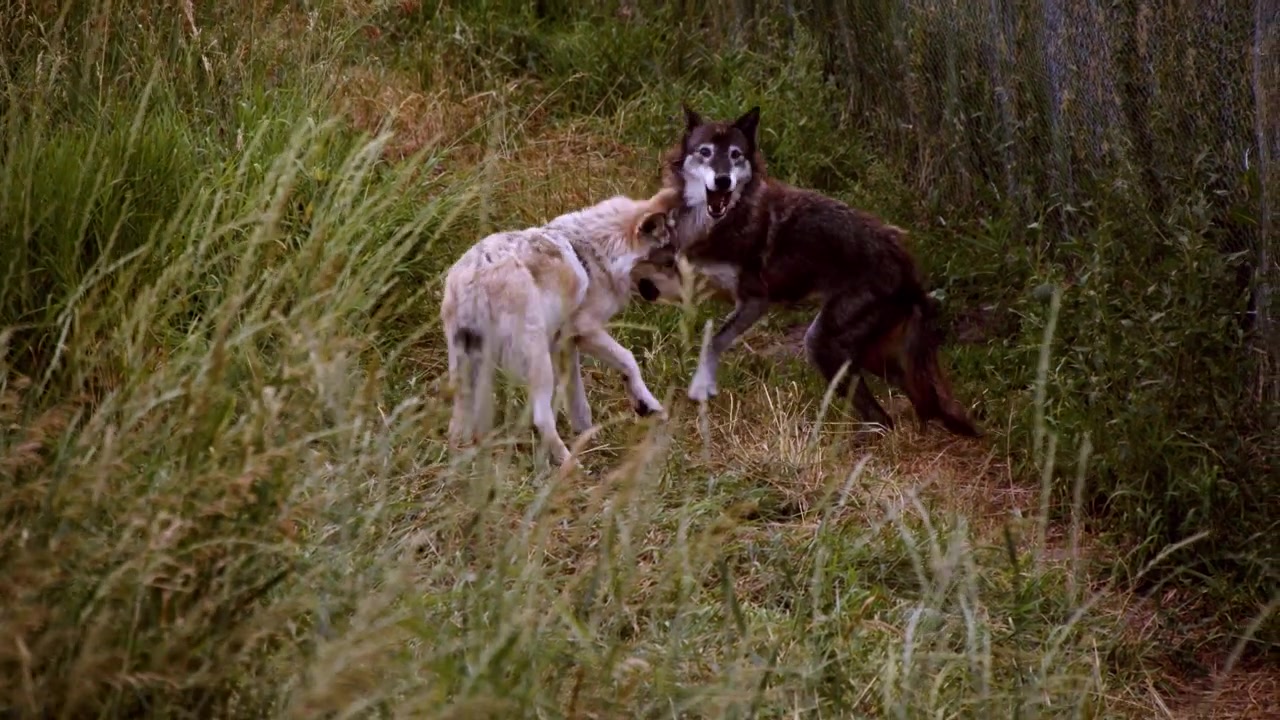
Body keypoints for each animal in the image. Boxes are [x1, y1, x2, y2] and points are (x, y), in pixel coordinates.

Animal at [664, 104, 981, 438]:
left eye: (735, 154)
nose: (723, 180)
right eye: (706, 152)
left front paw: (701, 385)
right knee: (910, 400)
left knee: (884, 416)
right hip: (870, 355)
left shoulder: (754, 300)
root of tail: (909, 270)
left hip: (822, 344)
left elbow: (713, 342)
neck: (721, 219)